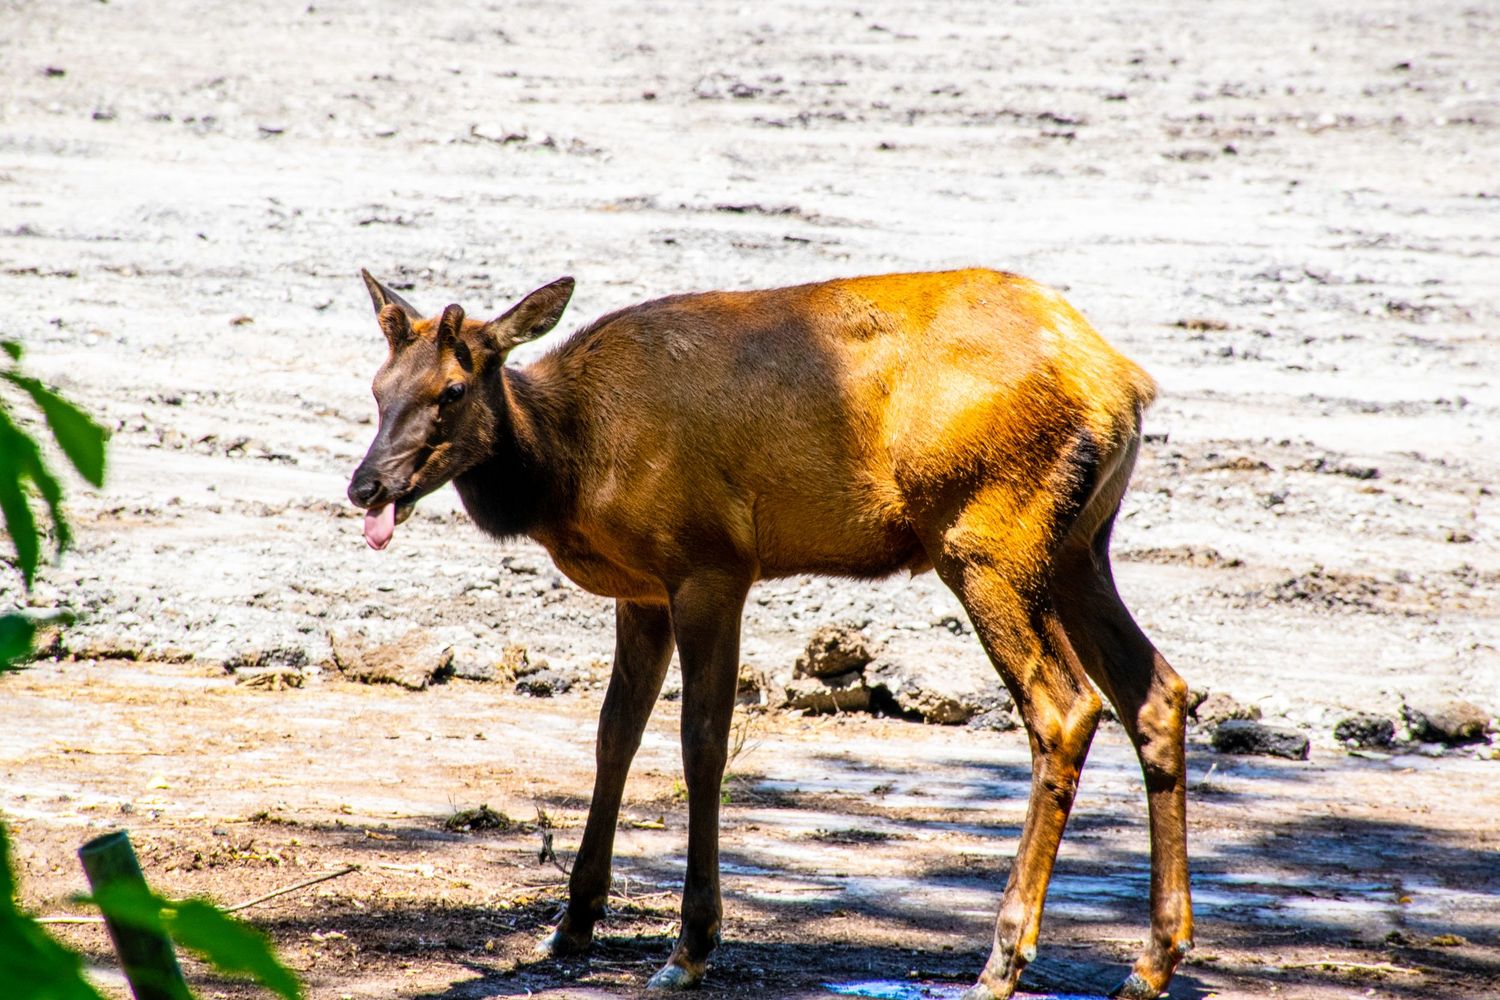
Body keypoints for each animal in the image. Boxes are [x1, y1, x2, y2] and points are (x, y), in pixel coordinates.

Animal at [346, 267, 1193, 1000]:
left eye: (452, 389)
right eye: (379, 388)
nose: (366, 486)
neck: (570, 469)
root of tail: (1126, 385)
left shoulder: (711, 565)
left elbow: (703, 742)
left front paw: (691, 946)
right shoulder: (642, 590)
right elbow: (614, 733)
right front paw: (572, 922)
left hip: (986, 537)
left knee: (1065, 706)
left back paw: (1003, 961)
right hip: (1079, 546)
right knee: (1157, 693)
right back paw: (1151, 962)